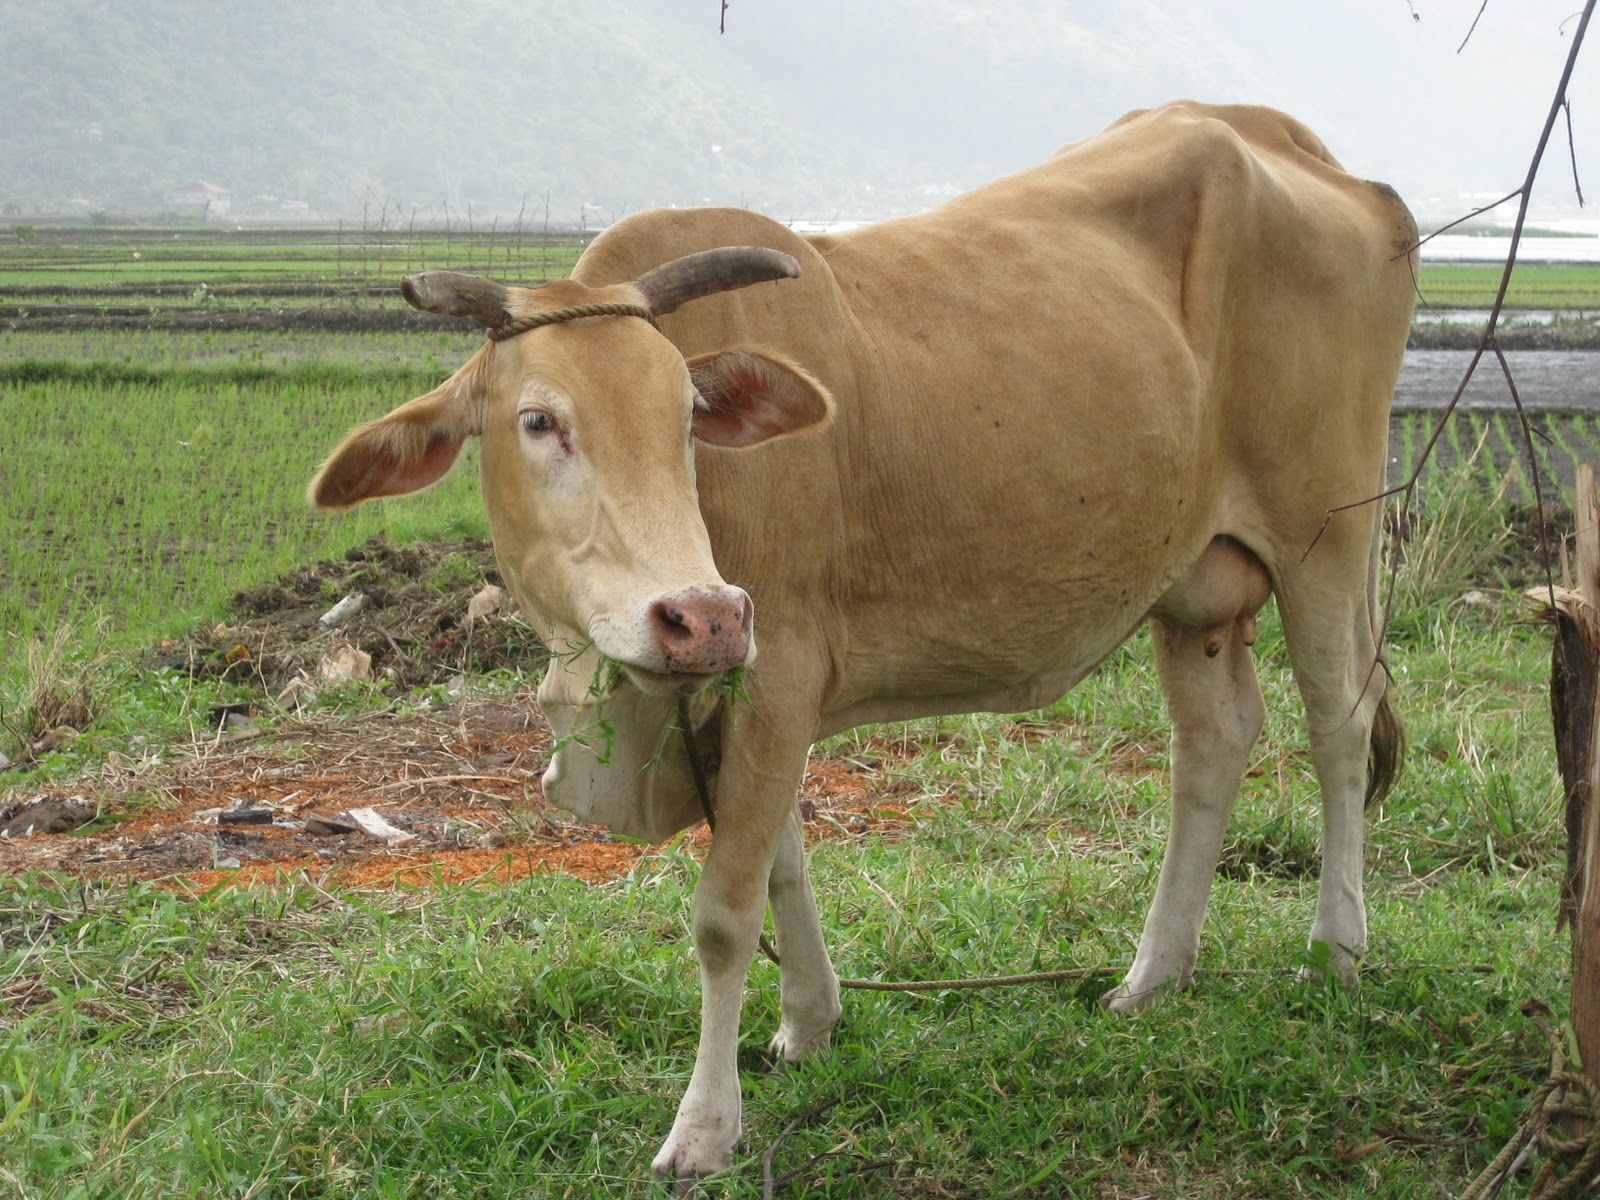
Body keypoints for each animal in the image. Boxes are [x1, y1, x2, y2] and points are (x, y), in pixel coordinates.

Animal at [309, 101, 1416, 1184]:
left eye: (685, 416)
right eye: (539, 420)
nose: (701, 614)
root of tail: (1305, 152)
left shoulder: (775, 667)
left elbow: (725, 913)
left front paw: (705, 1127)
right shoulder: (749, 694)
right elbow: (780, 864)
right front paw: (809, 1022)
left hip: (1328, 534)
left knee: (1339, 728)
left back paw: (1337, 950)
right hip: (1192, 590)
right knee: (1215, 744)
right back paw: (1153, 975)